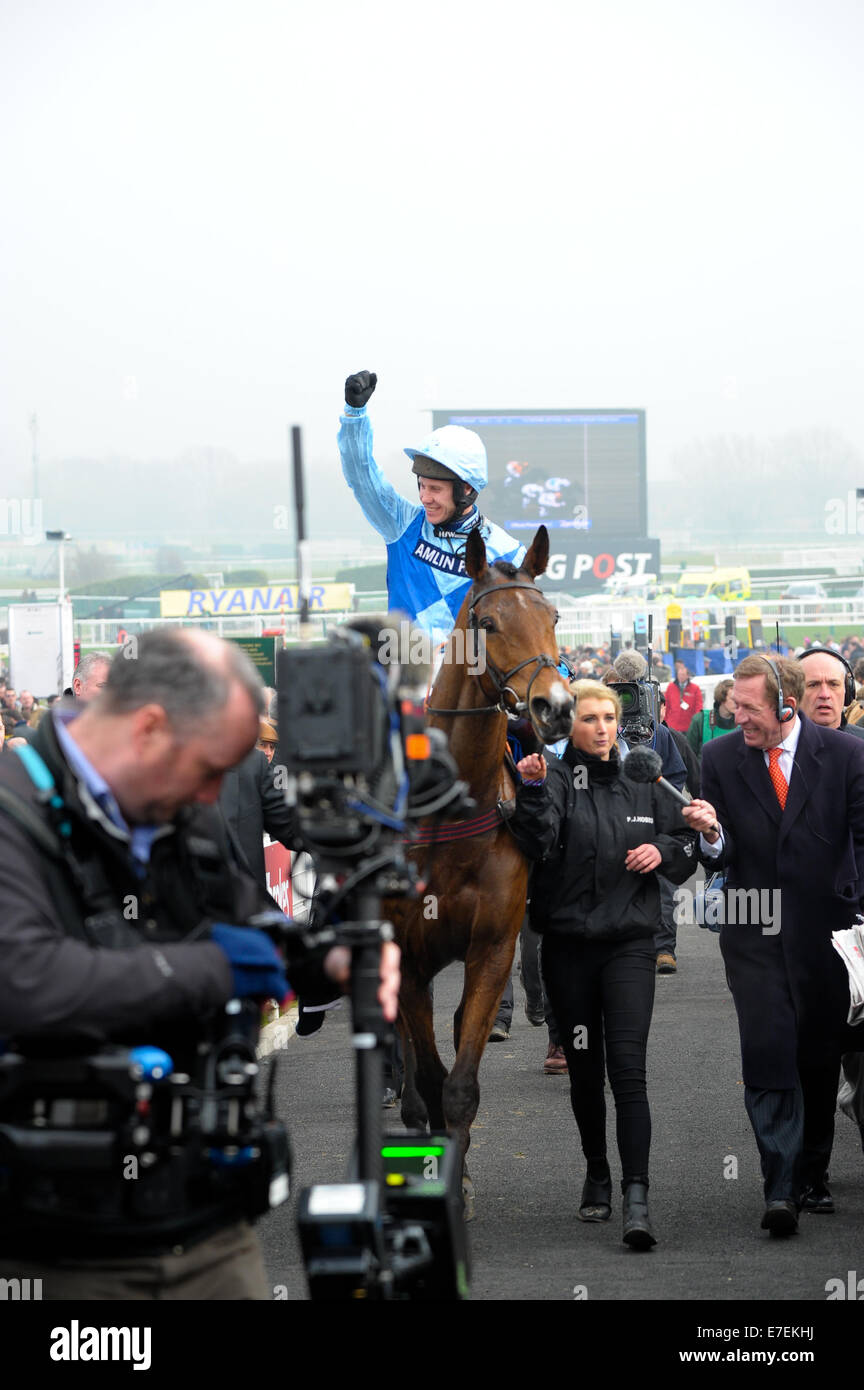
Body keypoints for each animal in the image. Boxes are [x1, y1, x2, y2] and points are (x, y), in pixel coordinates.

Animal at [394, 522, 575, 1217]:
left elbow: (461, 1083)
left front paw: (458, 1175)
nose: (556, 706)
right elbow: (427, 1073)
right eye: (490, 622)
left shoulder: (491, 947)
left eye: (553, 617)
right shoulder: (408, 958)